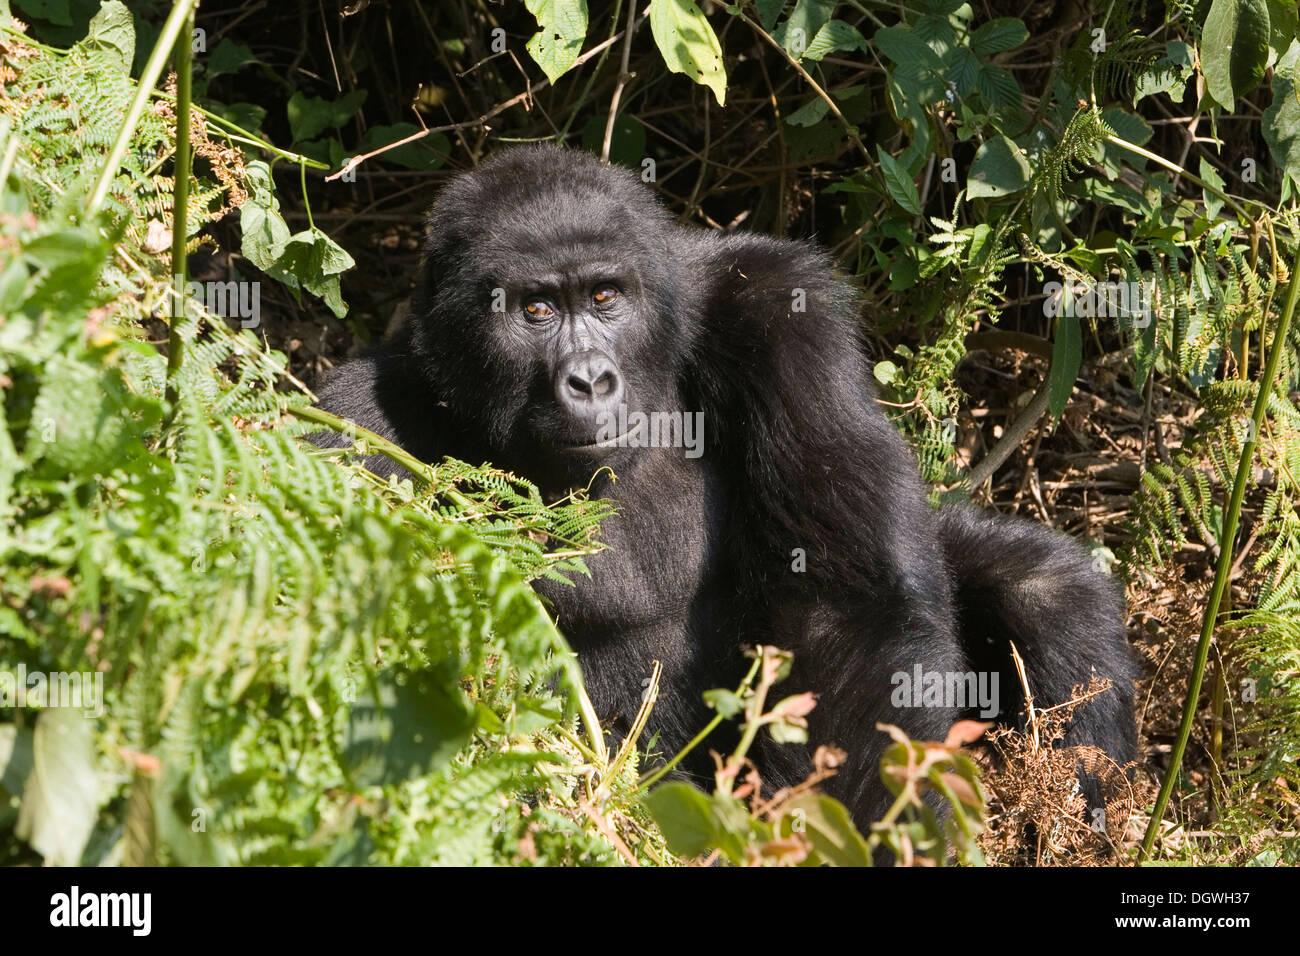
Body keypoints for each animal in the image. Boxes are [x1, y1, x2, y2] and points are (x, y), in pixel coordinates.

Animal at [314, 143, 1138, 837]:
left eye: (606, 296)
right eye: (535, 310)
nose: (591, 380)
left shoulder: (774, 310)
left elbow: (847, 604)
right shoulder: (356, 431)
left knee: (1045, 588)